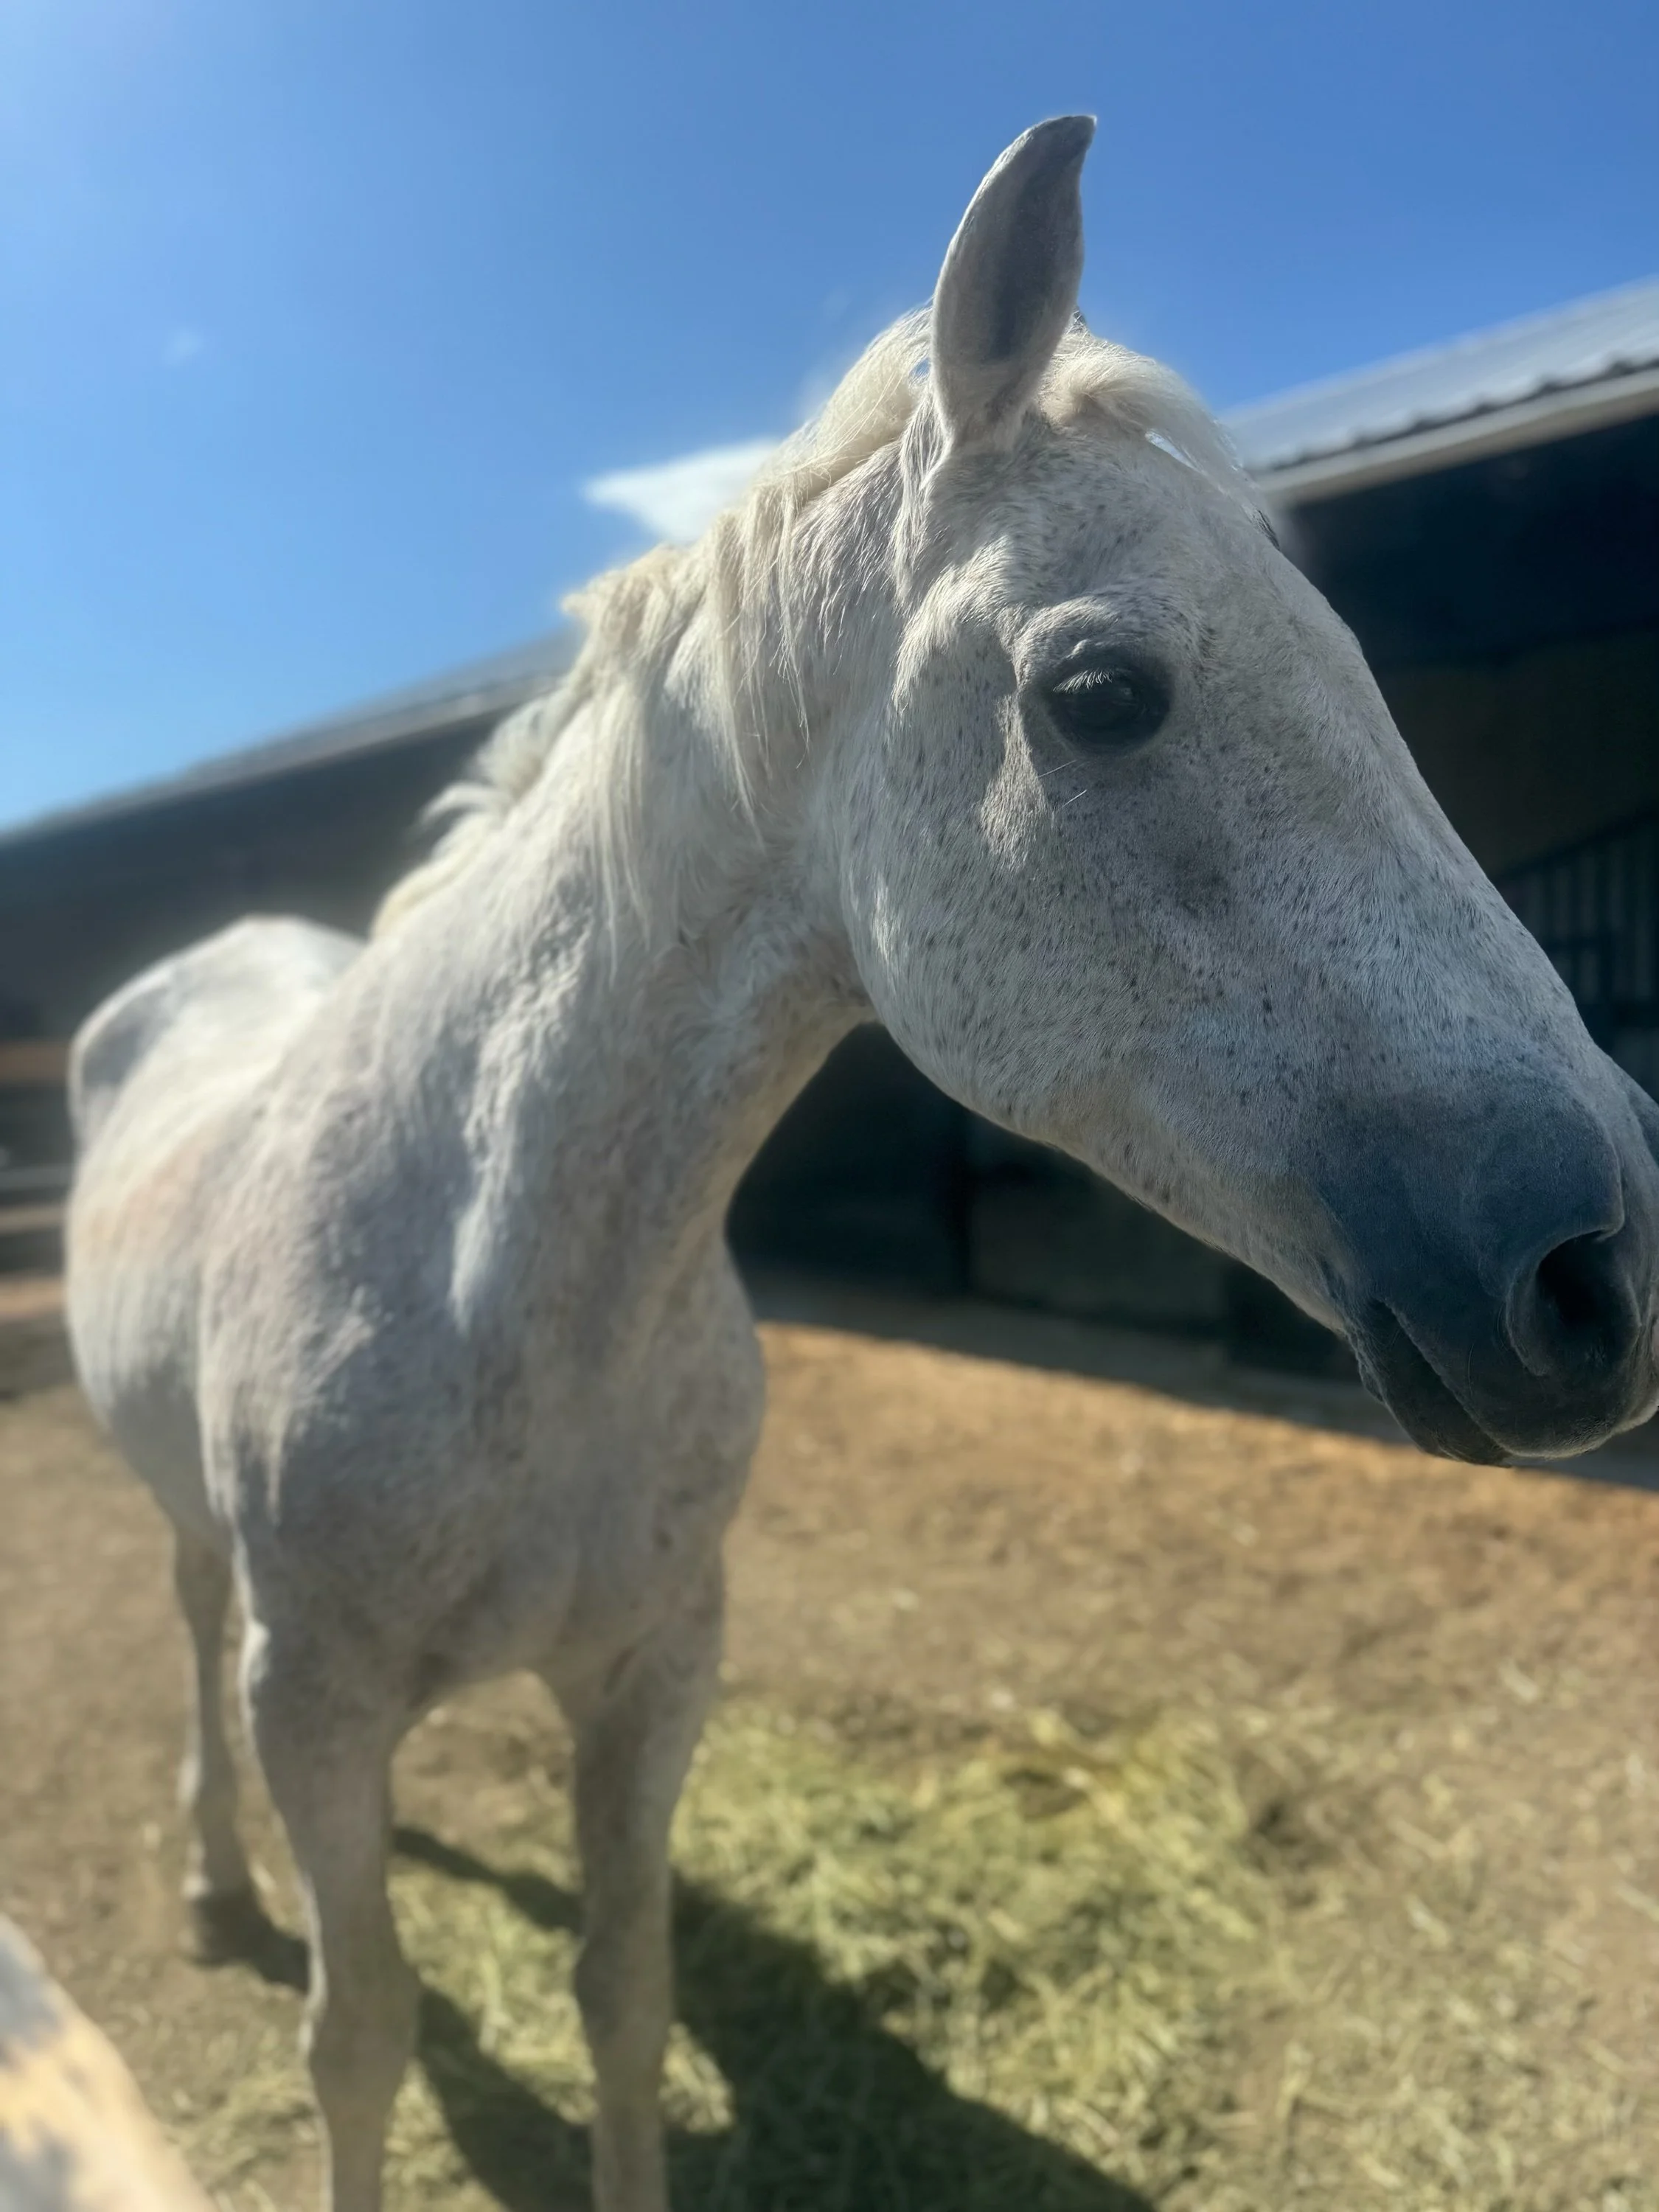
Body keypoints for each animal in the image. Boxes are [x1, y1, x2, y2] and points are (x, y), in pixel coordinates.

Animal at [63, 118, 1659, 2212]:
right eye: (1100, 692)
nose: (1596, 1269)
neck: (507, 1288)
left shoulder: (656, 1670)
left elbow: (623, 1991)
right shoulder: (313, 1709)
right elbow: (361, 2040)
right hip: (215, 1595)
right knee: (181, 1630)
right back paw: (206, 1883)